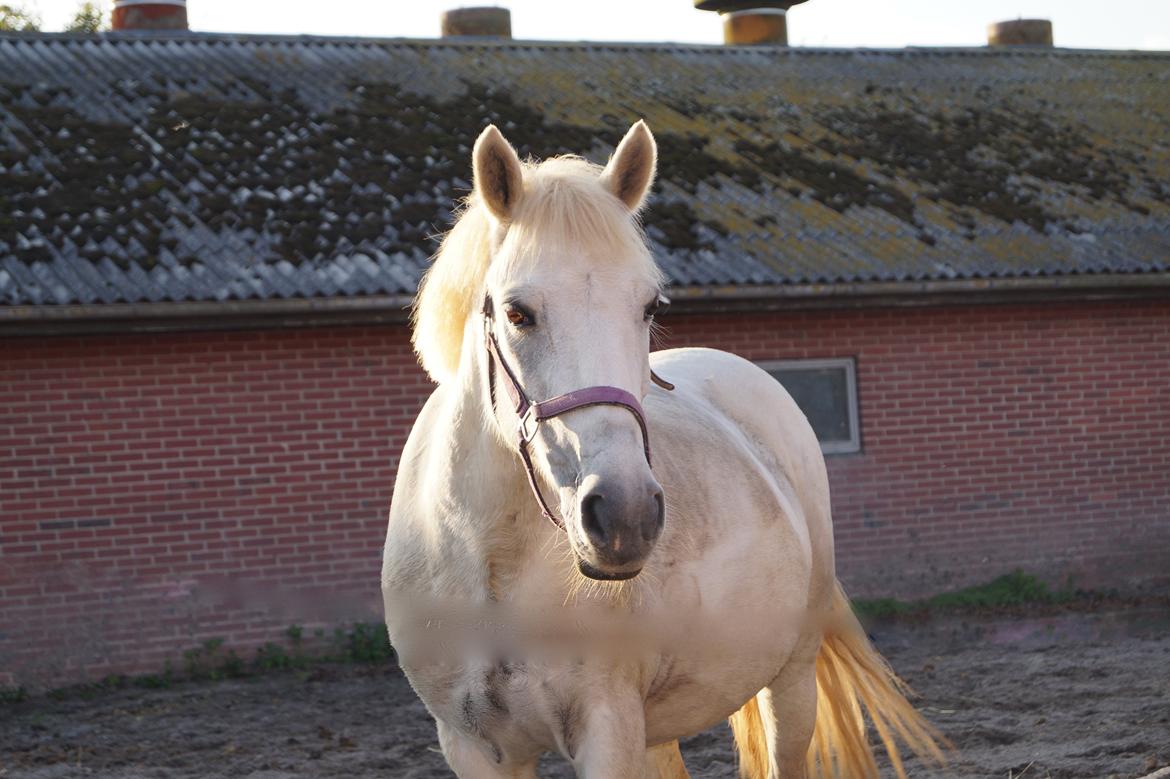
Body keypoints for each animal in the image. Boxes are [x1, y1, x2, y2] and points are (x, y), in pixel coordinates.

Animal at [379, 121, 945, 776]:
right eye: (518, 312)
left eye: (649, 306)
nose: (624, 515)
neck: (490, 567)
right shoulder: (474, 746)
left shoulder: (607, 730)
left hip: (790, 679)